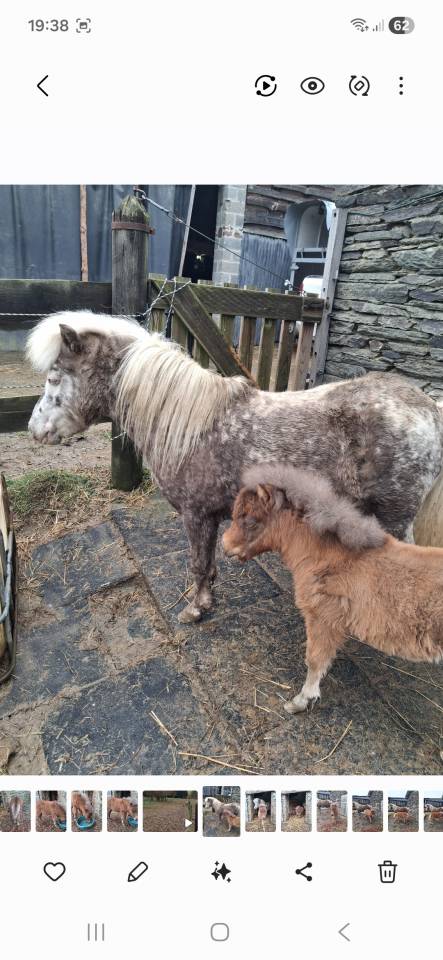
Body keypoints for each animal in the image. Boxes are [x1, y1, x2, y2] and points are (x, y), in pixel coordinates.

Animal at [27, 310, 443, 622]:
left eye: (54, 377)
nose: (35, 429)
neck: (190, 424)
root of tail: (429, 408)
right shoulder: (211, 517)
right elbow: (209, 564)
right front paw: (207, 601)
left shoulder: (195, 515)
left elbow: (198, 564)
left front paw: (195, 610)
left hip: (394, 519)